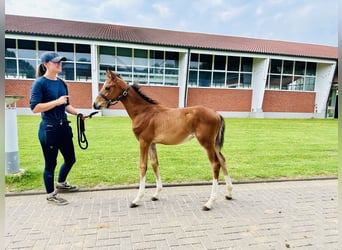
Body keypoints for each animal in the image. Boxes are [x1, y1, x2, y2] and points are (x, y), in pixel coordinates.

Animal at [93, 71, 232, 211]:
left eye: (107, 87)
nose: (95, 104)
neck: (143, 112)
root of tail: (216, 114)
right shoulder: (151, 143)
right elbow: (155, 164)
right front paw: (156, 194)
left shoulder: (143, 142)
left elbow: (143, 166)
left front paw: (137, 199)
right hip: (214, 144)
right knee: (222, 160)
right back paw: (229, 193)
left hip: (207, 143)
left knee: (215, 164)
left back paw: (209, 203)